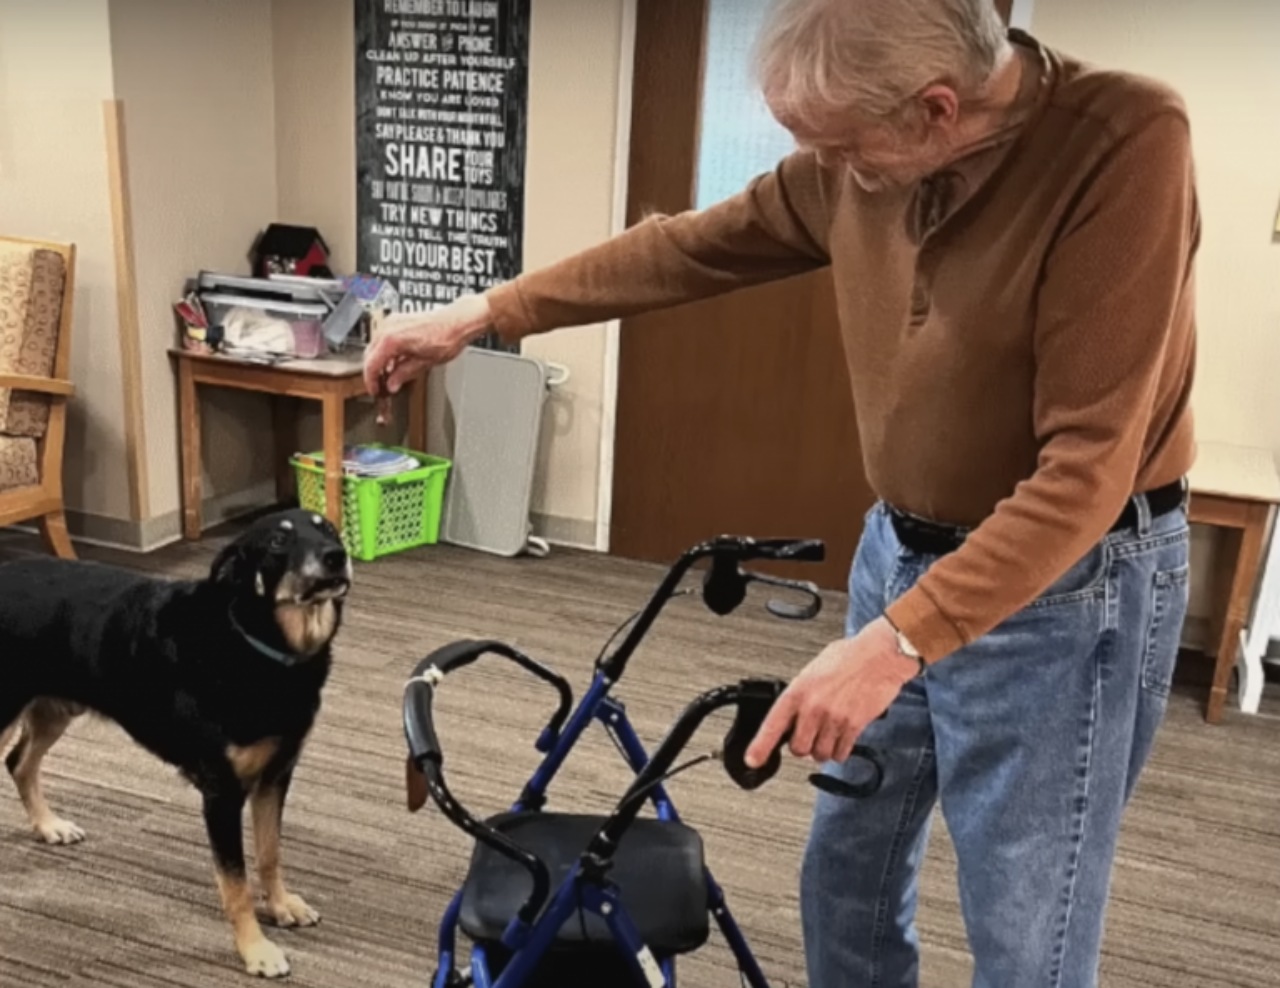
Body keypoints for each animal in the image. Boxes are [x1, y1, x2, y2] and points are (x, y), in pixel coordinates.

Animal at [0, 509, 350, 977]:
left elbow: (270, 852)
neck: (257, 643)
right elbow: (235, 883)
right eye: (278, 541)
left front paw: (280, 906)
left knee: (20, 762)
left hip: (55, 707)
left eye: (327, 528)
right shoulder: (222, 794)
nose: (337, 556)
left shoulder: (277, 774)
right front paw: (256, 949)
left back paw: (49, 825)